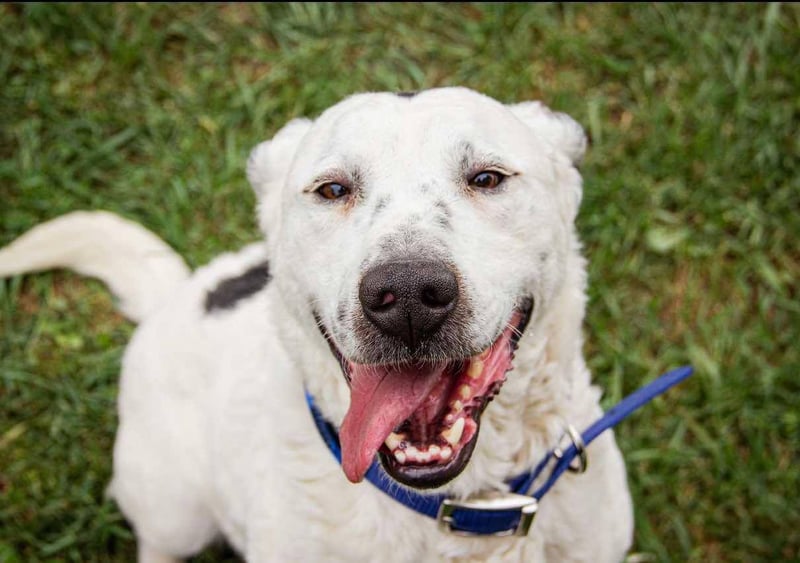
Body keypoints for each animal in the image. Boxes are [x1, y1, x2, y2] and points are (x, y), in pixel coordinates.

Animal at [0, 87, 633, 562]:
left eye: (487, 178)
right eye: (332, 189)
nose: (408, 295)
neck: (456, 510)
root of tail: (176, 293)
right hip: (173, 507)